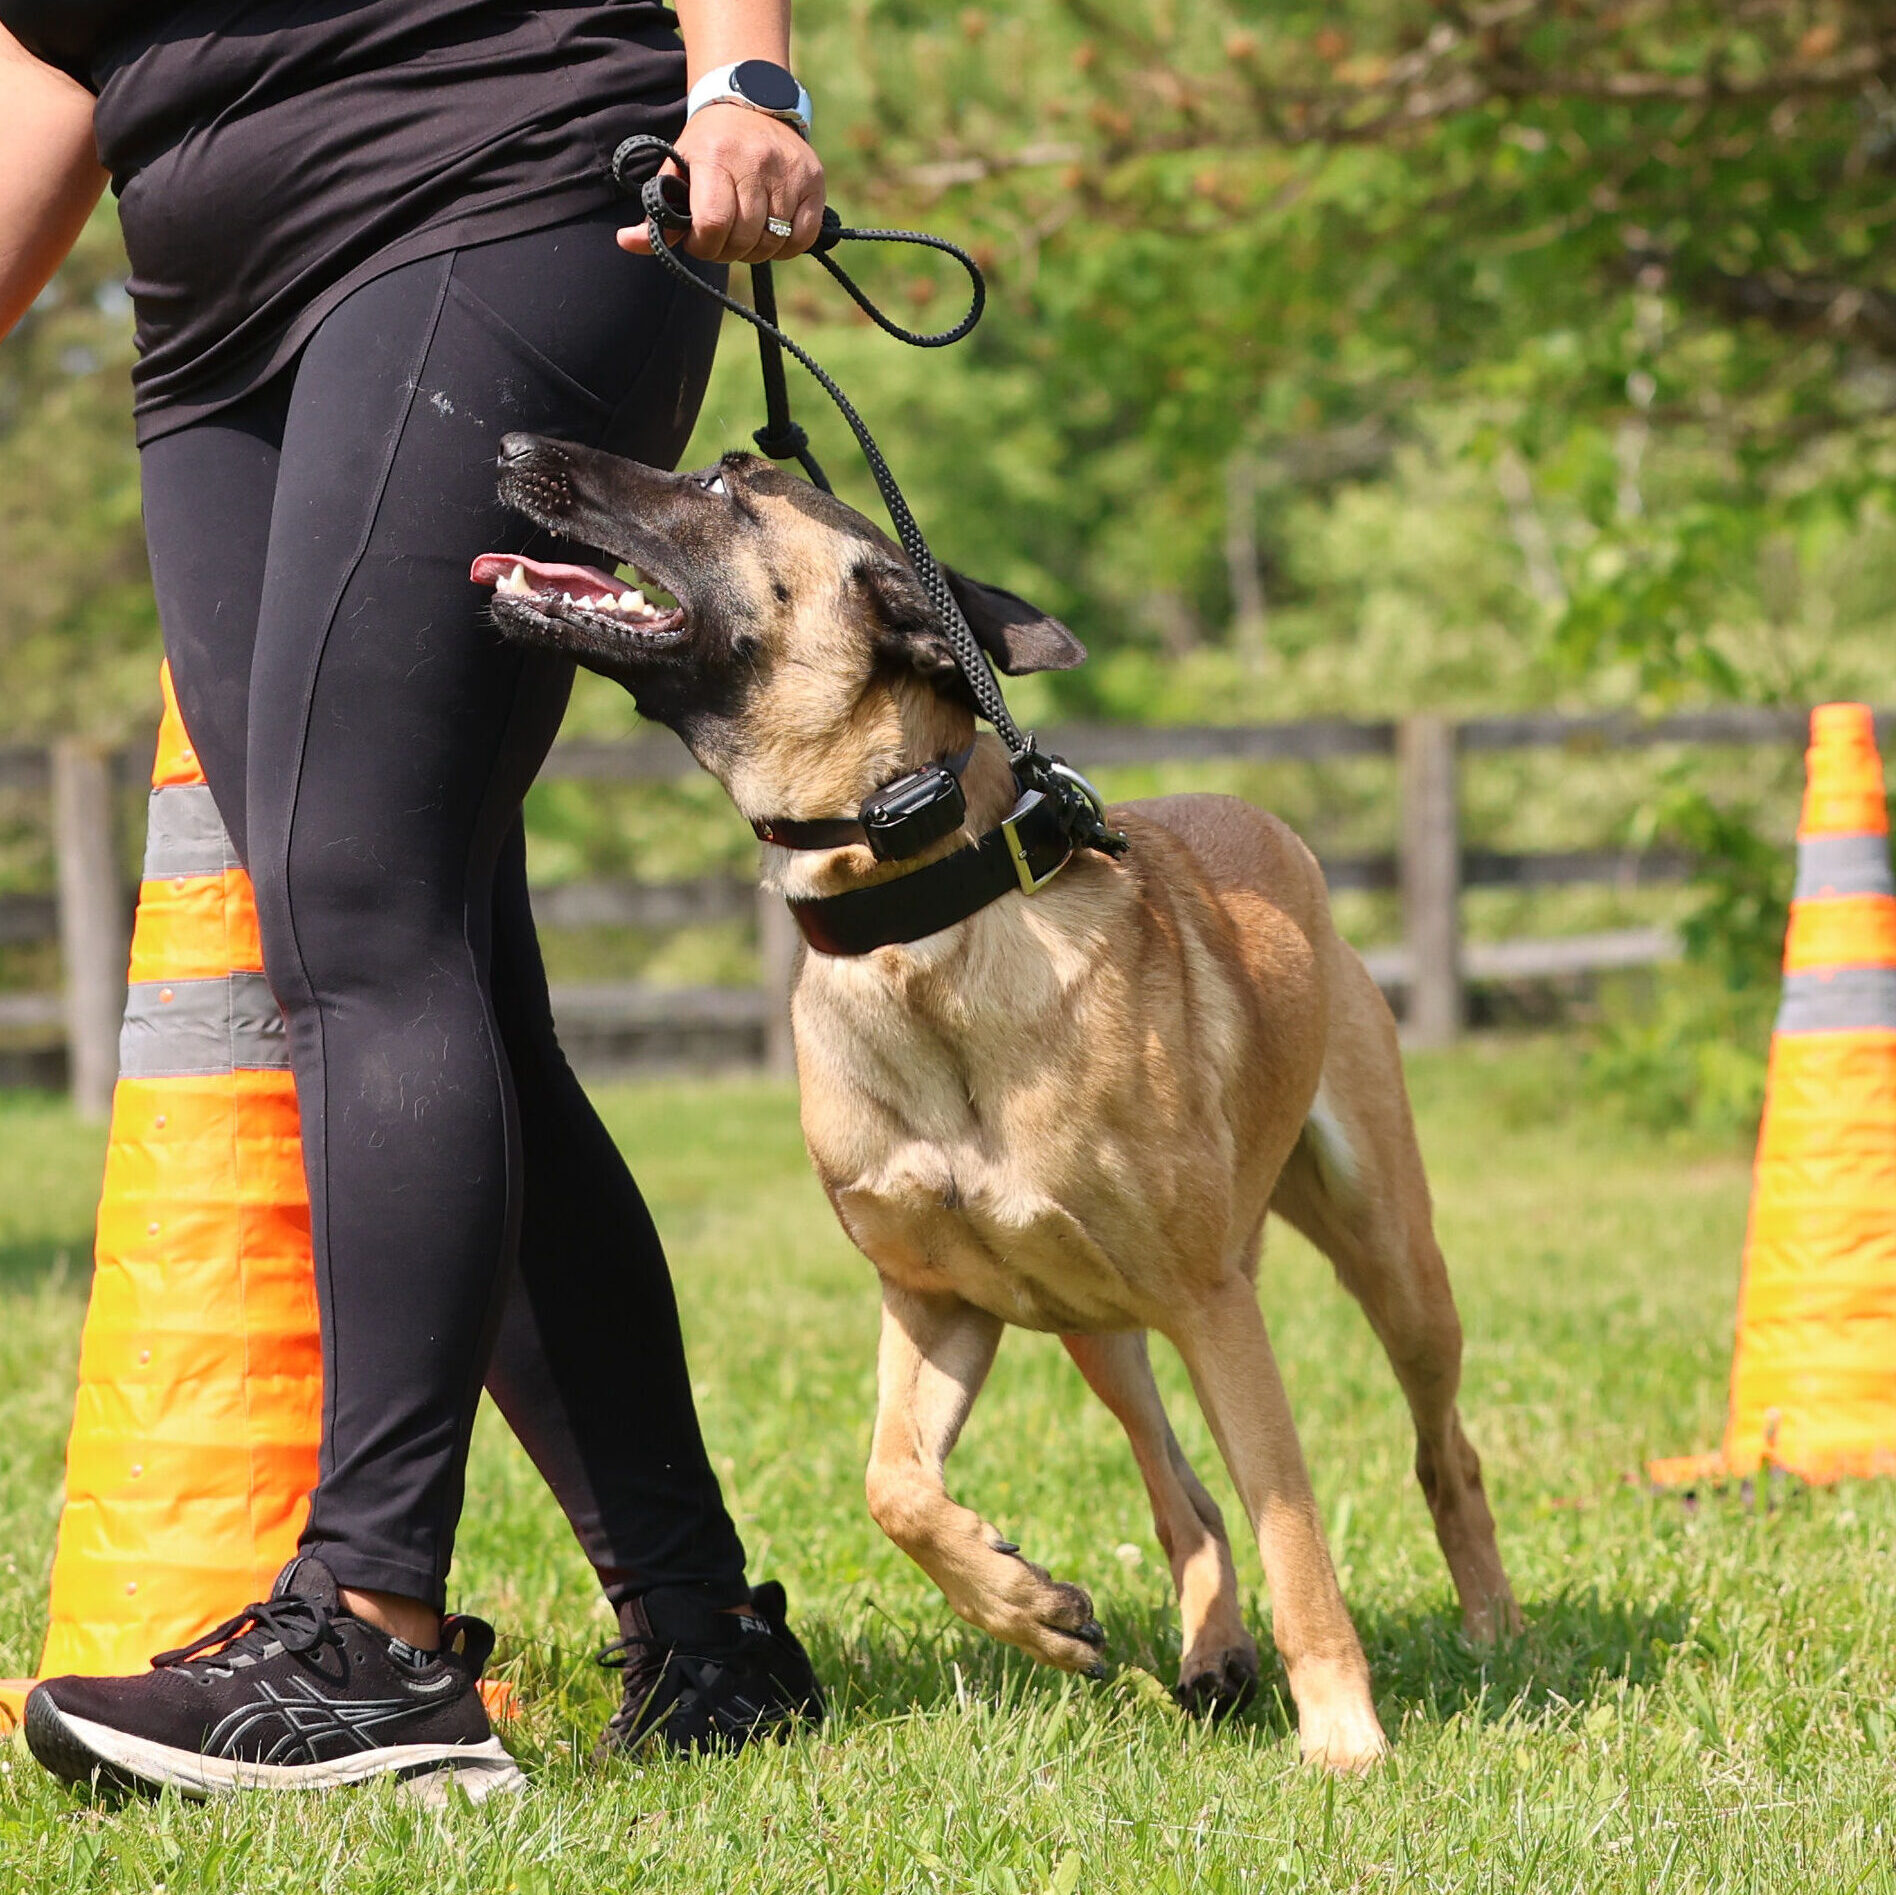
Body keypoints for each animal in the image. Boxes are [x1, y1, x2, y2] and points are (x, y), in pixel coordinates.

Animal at [474, 435, 1520, 1771]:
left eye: (722, 487)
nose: (514, 447)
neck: (916, 915)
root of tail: (1264, 818)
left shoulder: (1214, 1305)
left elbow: (1296, 1531)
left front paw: (1343, 1735)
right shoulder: (936, 1300)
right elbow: (894, 1486)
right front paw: (1028, 1605)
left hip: (1384, 1259)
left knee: (1443, 1447)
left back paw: (1488, 1623)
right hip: (1098, 1324)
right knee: (1183, 1491)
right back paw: (1209, 1649)